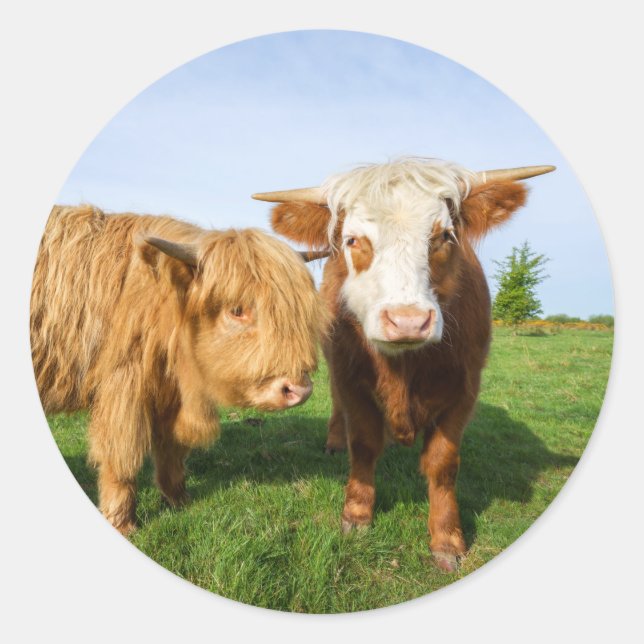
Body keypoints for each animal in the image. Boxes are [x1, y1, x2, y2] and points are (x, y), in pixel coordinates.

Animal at [31, 205, 326, 535]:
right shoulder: (123, 383)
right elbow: (122, 454)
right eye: (237, 310)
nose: (298, 389)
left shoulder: (168, 393)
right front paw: (122, 522)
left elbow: (171, 447)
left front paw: (178, 499)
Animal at [253, 158, 555, 571]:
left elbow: (443, 463)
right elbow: (363, 444)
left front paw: (447, 539)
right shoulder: (350, 378)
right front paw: (357, 515)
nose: (408, 321)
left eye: (445, 236)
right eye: (353, 240)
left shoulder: (465, 389)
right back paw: (334, 440)